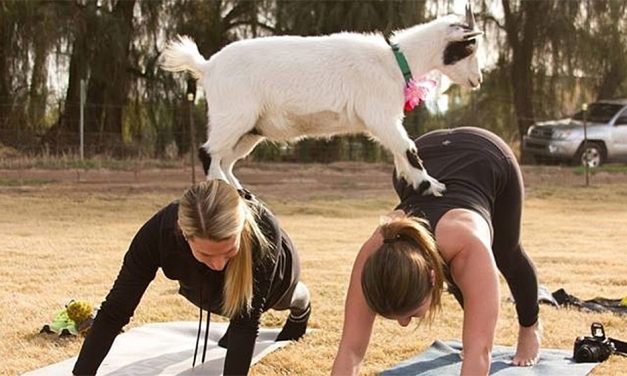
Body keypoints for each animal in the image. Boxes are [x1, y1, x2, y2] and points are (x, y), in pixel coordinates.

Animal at [163, 5, 486, 195]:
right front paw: (432, 185)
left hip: (250, 130)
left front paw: (414, 183)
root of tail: (207, 66)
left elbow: (399, 153)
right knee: (208, 153)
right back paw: (222, 187)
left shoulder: (386, 120)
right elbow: (408, 148)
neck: (393, 61)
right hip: (233, 116)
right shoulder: (380, 115)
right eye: (469, 48)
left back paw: (241, 191)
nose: (478, 79)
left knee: (226, 159)